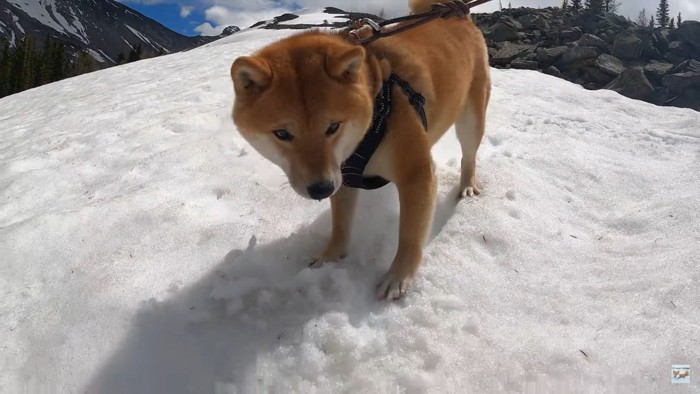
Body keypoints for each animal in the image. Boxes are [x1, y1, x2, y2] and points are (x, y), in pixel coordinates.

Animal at [230, 0, 486, 300]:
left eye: (333, 126)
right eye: (282, 134)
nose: (320, 189)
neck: (376, 103)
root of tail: (454, 14)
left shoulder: (416, 174)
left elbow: (410, 234)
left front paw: (399, 276)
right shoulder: (342, 174)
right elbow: (340, 224)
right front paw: (330, 256)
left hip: (471, 119)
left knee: (469, 155)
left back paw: (467, 185)